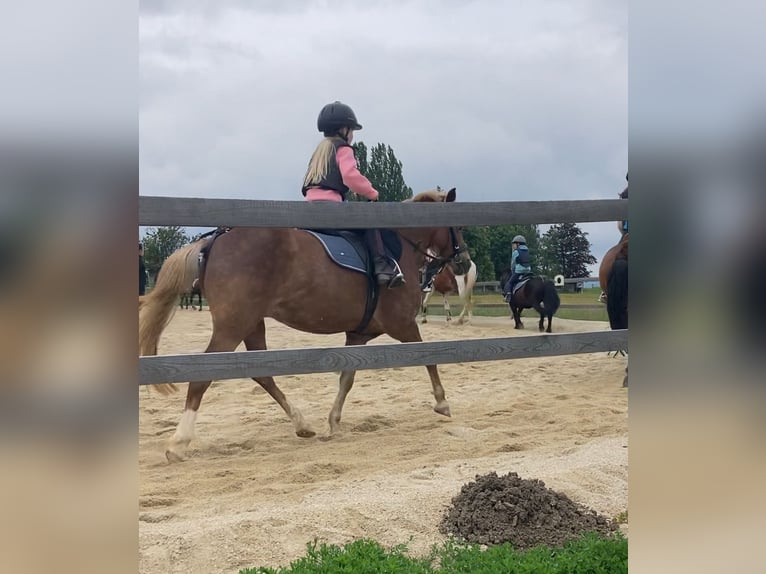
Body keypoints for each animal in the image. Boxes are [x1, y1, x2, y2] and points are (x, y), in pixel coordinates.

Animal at [140, 189, 474, 464]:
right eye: (457, 227)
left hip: (251, 324)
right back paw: (179, 443)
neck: (398, 249)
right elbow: (429, 358)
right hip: (233, 325)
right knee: (203, 376)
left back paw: (302, 424)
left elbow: (347, 378)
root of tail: (215, 239)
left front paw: (334, 421)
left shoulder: (359, 335)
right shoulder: (402, 325)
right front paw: (442, 402)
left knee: (262, 374)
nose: (465, 263)